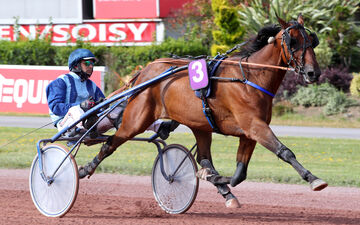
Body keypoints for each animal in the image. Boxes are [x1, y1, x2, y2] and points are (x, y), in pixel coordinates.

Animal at [78, 13, 326, 207]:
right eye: (293, 41)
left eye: (312, 41)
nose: (313, 72)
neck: (250, 78)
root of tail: (145, 71)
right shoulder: (254, 126)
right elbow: (284, 151)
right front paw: (313, 179)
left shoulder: (249, 133)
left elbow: (240, 173)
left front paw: (218, 180)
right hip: (135, 120)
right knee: (110, 144)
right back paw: (83, 170)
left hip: (200, 125)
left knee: (205, 158)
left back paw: (223, 189)